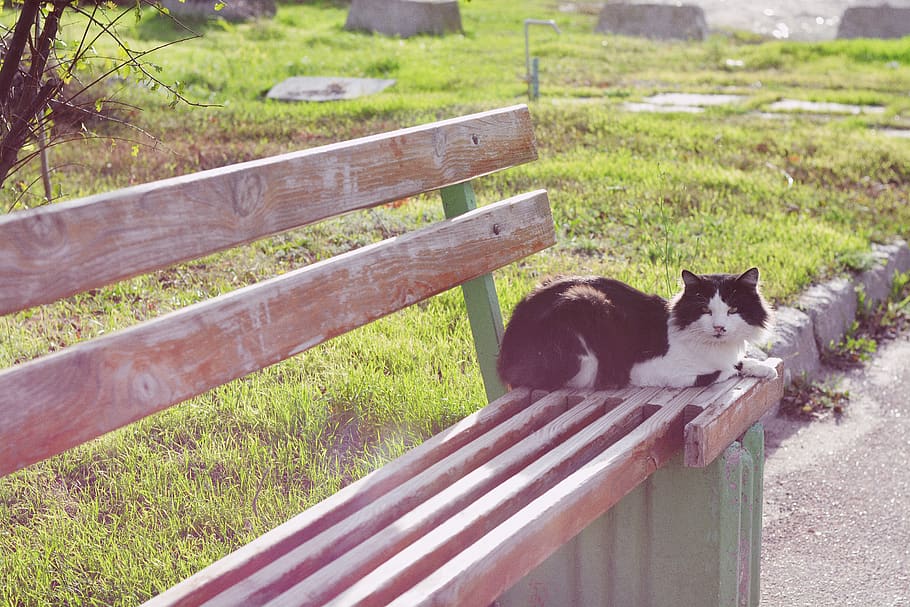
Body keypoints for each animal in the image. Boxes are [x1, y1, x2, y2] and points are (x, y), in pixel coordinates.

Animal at [496, 268, 780, 390]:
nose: (719, 327)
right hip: (585, 304)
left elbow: (742, 361)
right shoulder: (650, 371)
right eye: (705, 310)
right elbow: (721, 371)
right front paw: (735, 370)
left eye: (733, 310)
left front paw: (764, 369)